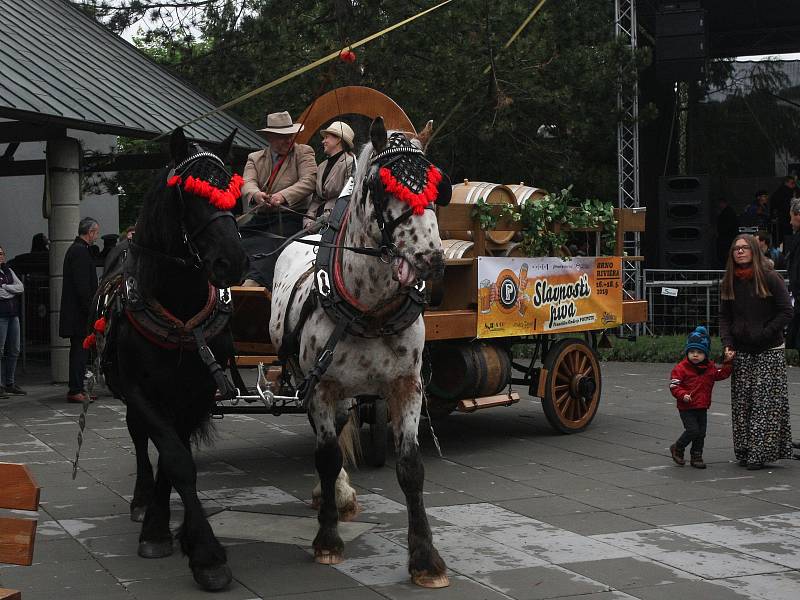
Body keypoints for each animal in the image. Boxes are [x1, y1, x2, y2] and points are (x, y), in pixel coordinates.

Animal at [89, 129, 248, 592]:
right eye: (190, 196)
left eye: (235, 196)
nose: (233, 260)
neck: (179, 312)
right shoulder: (143, 392)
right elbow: (173, 458)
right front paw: (198, 548)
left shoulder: (197, 394)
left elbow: (177, 459)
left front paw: (188, 540)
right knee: (140, 439)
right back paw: (142, 501)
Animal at [268, 116, 454, 584]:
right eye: (379, 185)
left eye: (439, 186)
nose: (431, 261)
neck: (368, 310)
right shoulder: (319, 387)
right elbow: (326, 455)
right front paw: (327, 540)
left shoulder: (407, 386)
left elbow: (410, 467)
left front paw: (424, 559)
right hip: (307, 379)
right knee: (325, 442)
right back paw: (332, 495)